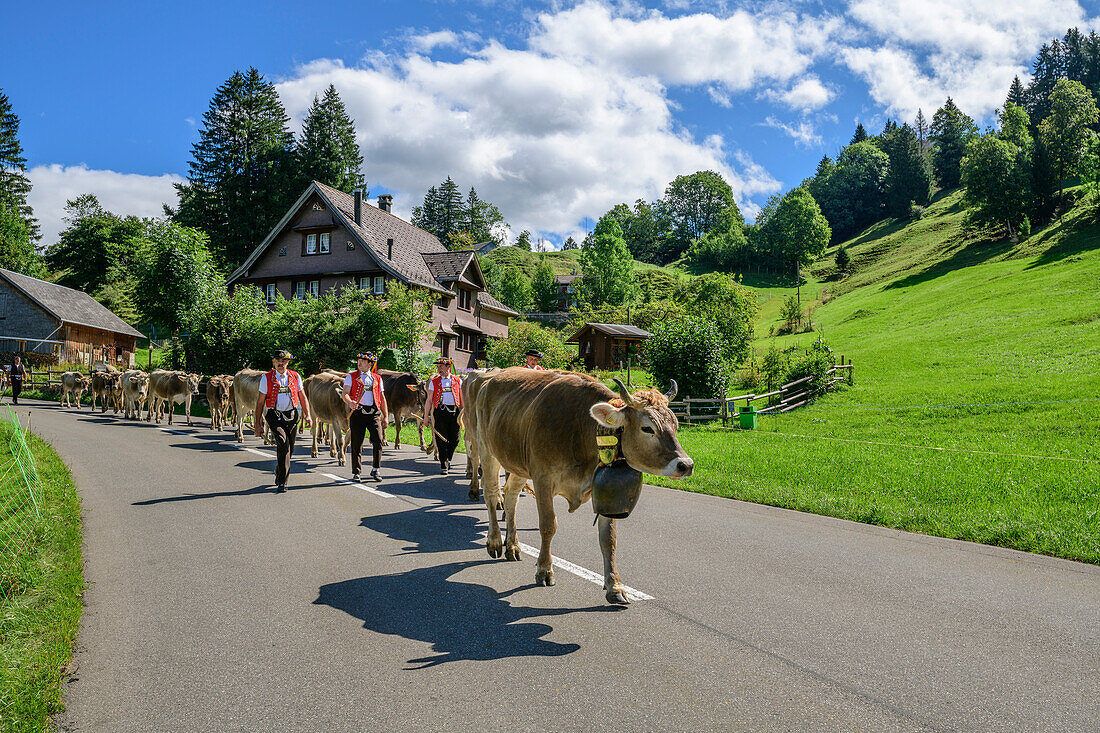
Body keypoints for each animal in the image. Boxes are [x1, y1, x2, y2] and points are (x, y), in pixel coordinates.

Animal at [470, 367, 690, 603]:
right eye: (647, 428)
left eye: (675, 425)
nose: (686, 464)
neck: (580, 429)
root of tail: (493, 375)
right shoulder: (542, 479)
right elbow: (548, 525)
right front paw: (544, 570)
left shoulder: (606, 492)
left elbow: (609, 539)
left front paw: (615, 586)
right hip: (487, 449)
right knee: (491, 494)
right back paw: (494, 541)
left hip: (518, 464)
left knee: (510, 496)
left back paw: (512, 546)